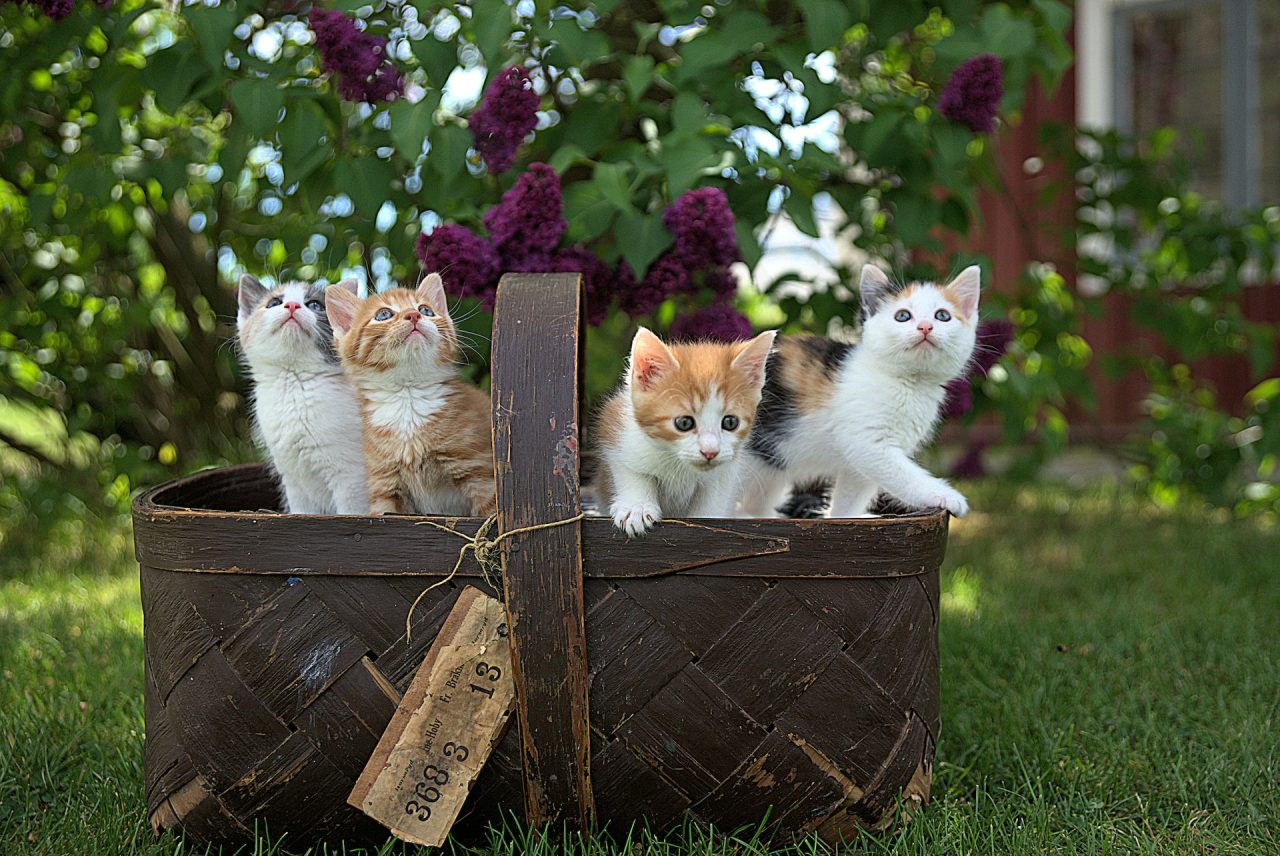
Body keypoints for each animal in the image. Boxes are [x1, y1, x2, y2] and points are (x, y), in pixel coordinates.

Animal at [236, 275, 371, 514]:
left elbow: (351, 512)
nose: (292, 305)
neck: (295, 383)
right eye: (274, 303)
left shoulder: (351, 477)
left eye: (314, 305)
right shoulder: (294, 481)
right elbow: (302, 513)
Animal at [325, 273, 494, 514]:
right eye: (383, 314)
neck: (408, 396)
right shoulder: (385, 485)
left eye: (426, 310)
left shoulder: (480, 473)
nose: (413, 315)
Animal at [593, 324, 773, 534]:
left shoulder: (728, 468)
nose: (710, 452)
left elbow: (714, 497)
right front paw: (636, 507)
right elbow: (631, 470)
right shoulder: (616, 427)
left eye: (730, 422)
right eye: (684, 423)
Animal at [742, 263, 977, 516]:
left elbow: (850, 498)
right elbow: (905, 476)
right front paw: (945, 496)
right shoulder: (867, 443)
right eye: (902, 316)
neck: (908, 383)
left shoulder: (859, 464)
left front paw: (841, 518)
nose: (925, 327)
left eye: (942, 315)